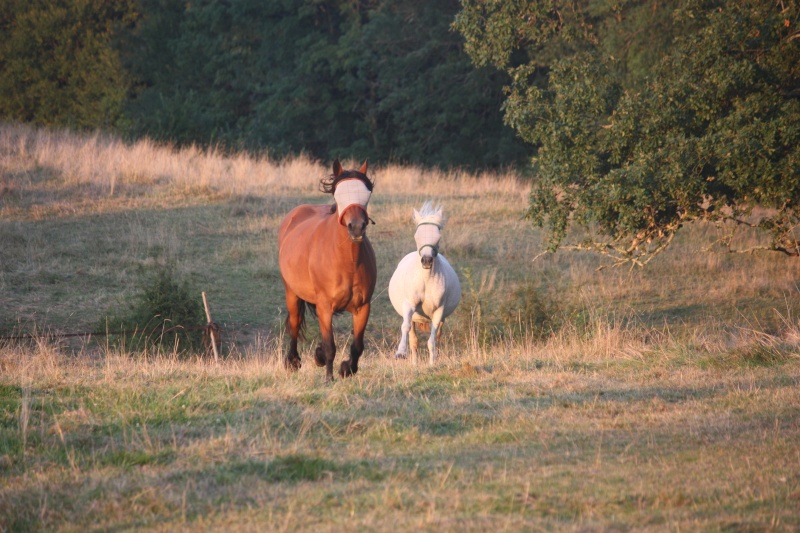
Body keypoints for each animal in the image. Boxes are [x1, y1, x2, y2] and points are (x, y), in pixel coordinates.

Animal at [278, 160, 378, 380]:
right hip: (292, 293)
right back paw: (293, 361)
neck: (348, 262)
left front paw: (346, 369)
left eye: (366, 194)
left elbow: (358, 346)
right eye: (338, 195)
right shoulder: (325, 306)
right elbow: (330, 346)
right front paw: (328, 378)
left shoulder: (363, 307)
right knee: (295, 323)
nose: (356, 227)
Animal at [390, 202, 462, 364]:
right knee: (414, 341)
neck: (425, 280)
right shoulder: (409, 306)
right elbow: (405, 328)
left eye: (438, 235)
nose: (427, 260)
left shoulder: (439, 312)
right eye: (417, 235)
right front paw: (400, 353)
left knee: (437, 337)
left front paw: (432, 364)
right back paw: (414, 363)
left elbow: (432, 341)